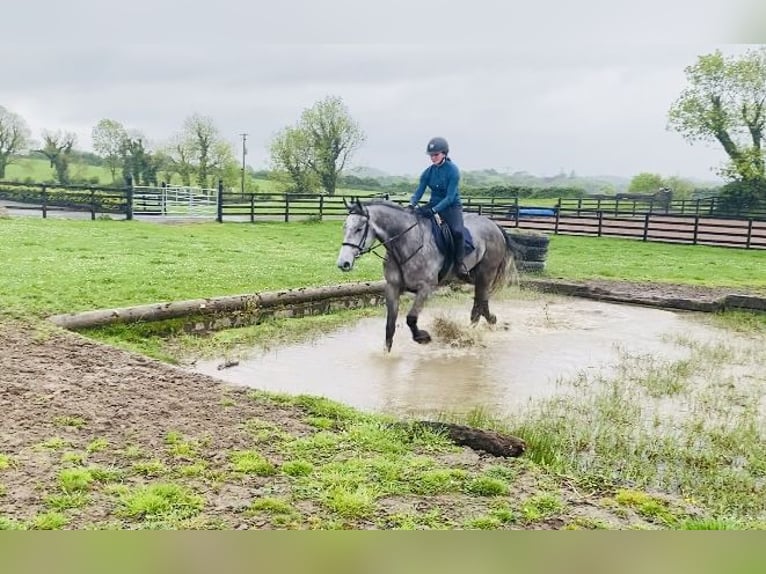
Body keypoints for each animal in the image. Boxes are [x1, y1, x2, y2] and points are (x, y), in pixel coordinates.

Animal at [338, 198, 524, 354]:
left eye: (359, 229)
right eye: (344, 227)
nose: (343, 263)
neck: (406, 243)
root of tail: (495, 225)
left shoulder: (425, 288)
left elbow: (411, 318)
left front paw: (422, 337)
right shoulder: (392, 287)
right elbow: (390, 324)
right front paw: (386, 355)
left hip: (486, 274)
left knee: (480, 303)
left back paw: (473, 331)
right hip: (473, 277)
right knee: (480, 303)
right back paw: (481, 326)